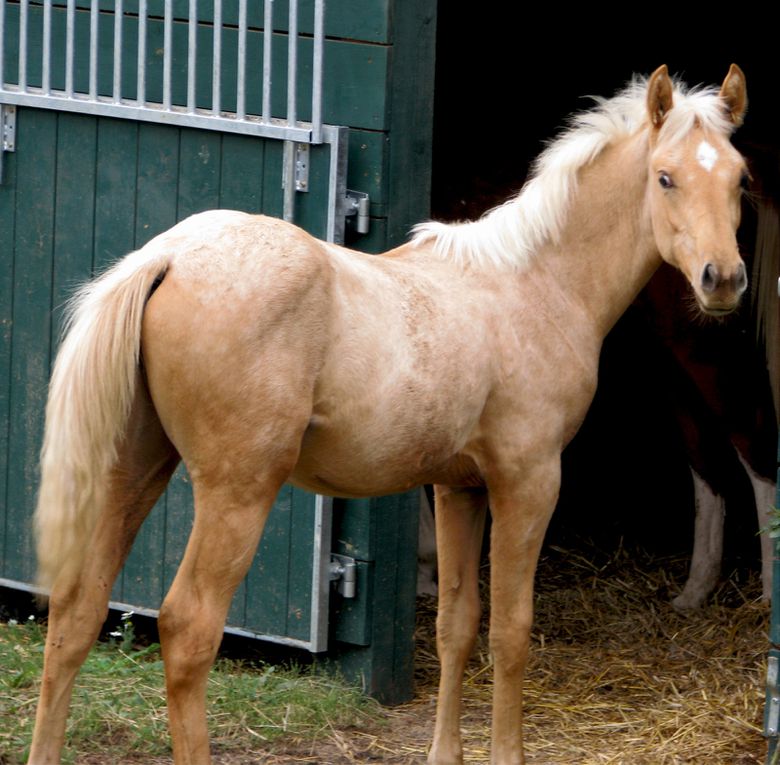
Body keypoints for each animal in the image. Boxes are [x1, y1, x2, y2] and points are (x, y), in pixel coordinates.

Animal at [29, 65, 748, 764]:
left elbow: (458, 624)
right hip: (237, 491)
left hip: (133, 470)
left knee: (76, 611)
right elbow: (511, 630)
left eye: (740, 178)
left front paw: (444, 753)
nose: (724, 280)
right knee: (187, 627)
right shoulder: (529, 481)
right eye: (665, 177)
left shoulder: (459, 488)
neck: (536, 283)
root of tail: (168, 256)